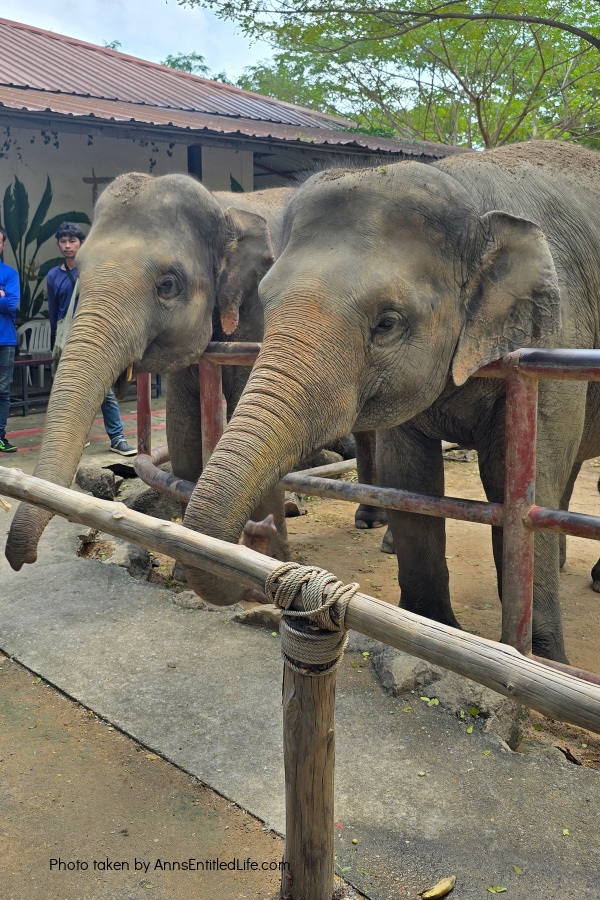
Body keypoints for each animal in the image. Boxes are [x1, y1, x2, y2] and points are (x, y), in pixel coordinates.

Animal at [178, 140, 600, 663]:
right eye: (265, 300)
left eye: (387, 323)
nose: (260, 532)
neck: (468, 195)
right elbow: (409, 479)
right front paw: (428, 631)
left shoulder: (555, 337)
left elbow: (521, 485)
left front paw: (541, 660)